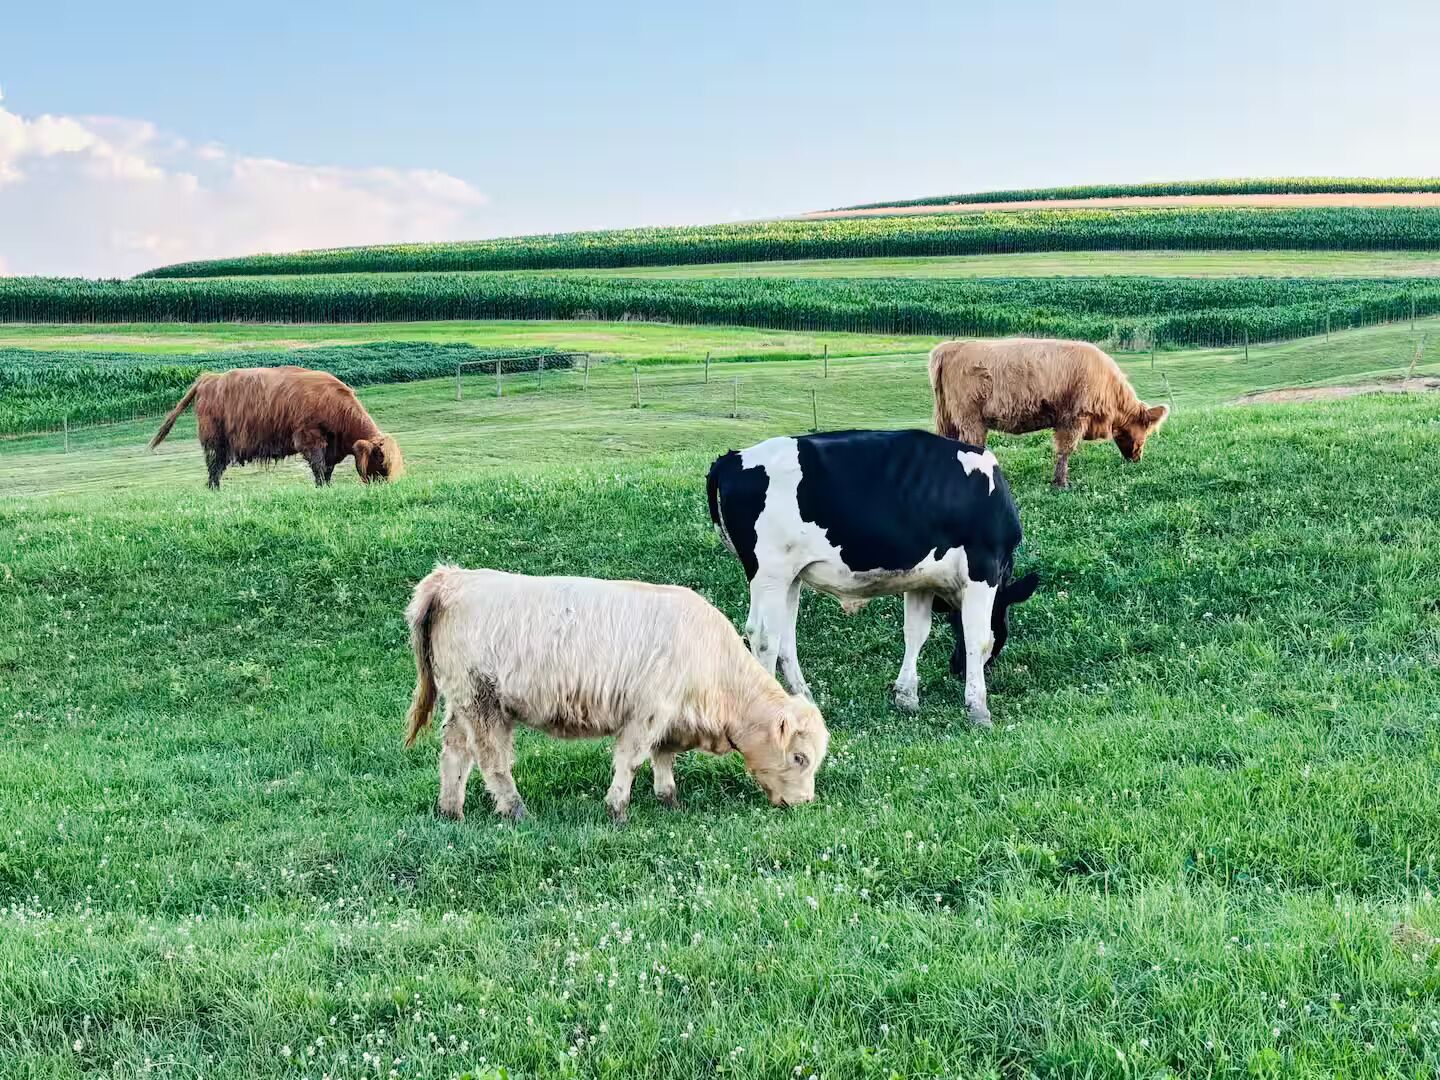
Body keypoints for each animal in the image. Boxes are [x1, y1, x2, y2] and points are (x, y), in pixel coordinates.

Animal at [148, 366, 404, 489]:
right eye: (381, 462)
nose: (385, 486)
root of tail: (209, 378)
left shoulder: (331, 446)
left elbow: (327, 469)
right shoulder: (309, 437)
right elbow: (319, 467)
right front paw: (322, 487)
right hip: (215, 441)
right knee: (214, 469)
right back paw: (214, 491)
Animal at [403, 566, 829, 824]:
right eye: (800, 757)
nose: (805, 803)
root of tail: (454, 577)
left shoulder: (669, 719)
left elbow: (663, 758)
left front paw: (669, 799)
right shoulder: (647, 712)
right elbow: (631, 761)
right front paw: (617, 809)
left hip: (461, 703)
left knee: (455, 753)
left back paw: (451, 812)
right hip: (482, 702)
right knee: (492, 760)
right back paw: (516, 810)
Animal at [706, 429, 1036, 726]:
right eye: (1003, 628)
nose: (956, 668)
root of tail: (733, 457)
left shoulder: (921, 580)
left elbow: (916, 632)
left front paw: (906, 696)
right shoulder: (983, 570)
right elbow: (977, 637)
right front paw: (978, 709)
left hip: (790, 577)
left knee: (785, 637)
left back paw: (805, 698)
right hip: (769, 572)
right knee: (763, 637)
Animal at [929, 337, 1168, 488]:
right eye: (1146, 432)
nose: (1137, 458)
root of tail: (951, 347)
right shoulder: (1073, 418)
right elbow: (1065, 450)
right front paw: (1061, 483)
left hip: (948, 417)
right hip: (971, 419)